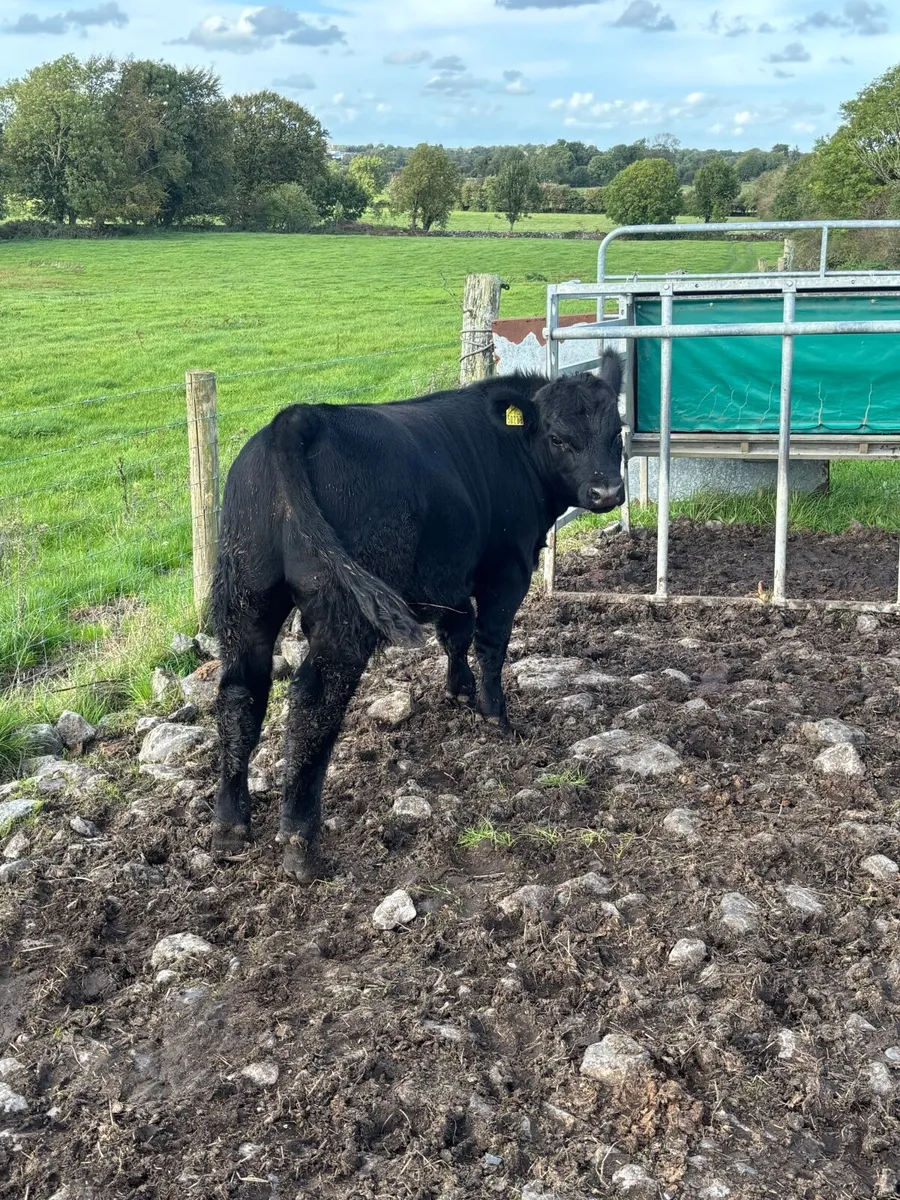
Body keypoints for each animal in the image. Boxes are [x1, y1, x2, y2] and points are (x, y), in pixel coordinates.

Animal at [211, 349, 625, 880]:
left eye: (616, 430)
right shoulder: (505, 567)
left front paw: (460, 691)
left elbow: (457, 633)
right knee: (312, 701)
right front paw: (496, 715)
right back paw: (300, 842)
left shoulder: (450, 577)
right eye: (557, 437)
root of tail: (301, 417)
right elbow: (491, 643)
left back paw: (230, 826)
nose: (607, 492)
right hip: (341, 615)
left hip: (246, 595)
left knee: (239, 693)